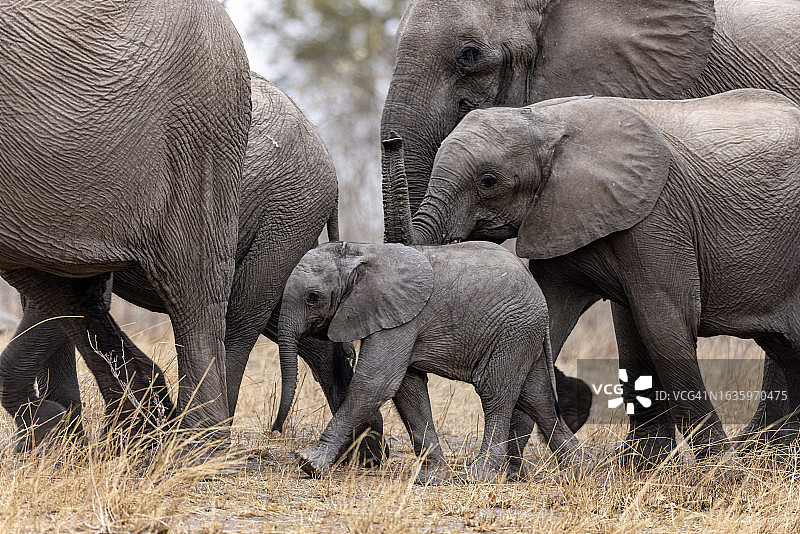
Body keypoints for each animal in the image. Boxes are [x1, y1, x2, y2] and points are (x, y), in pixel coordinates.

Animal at [0, 72, 387, 464]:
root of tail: (329, 163)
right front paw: (54, 450)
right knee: (293, 321)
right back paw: (365, 451)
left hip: (286, 218)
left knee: (243, 315)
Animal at [274, 240, 586, 483]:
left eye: (312, 298)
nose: (275, 431)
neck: (360, 251)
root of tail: (540, 297)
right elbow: (408, 389)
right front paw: (430, 479)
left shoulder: (400, 317)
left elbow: (376, 384)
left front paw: (308, 464)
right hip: (523, 337)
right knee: (537, 399)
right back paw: (582, 470)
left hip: (513, 331)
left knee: (497, 396)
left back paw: (477, 477)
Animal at [379, 0, 800, 455]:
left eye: (469, 55)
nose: (391, 142)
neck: (550, 127)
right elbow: (561, 315)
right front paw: (634, 462)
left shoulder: (657, 216)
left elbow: (662, 324)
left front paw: (714, 465)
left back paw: (767, 450)